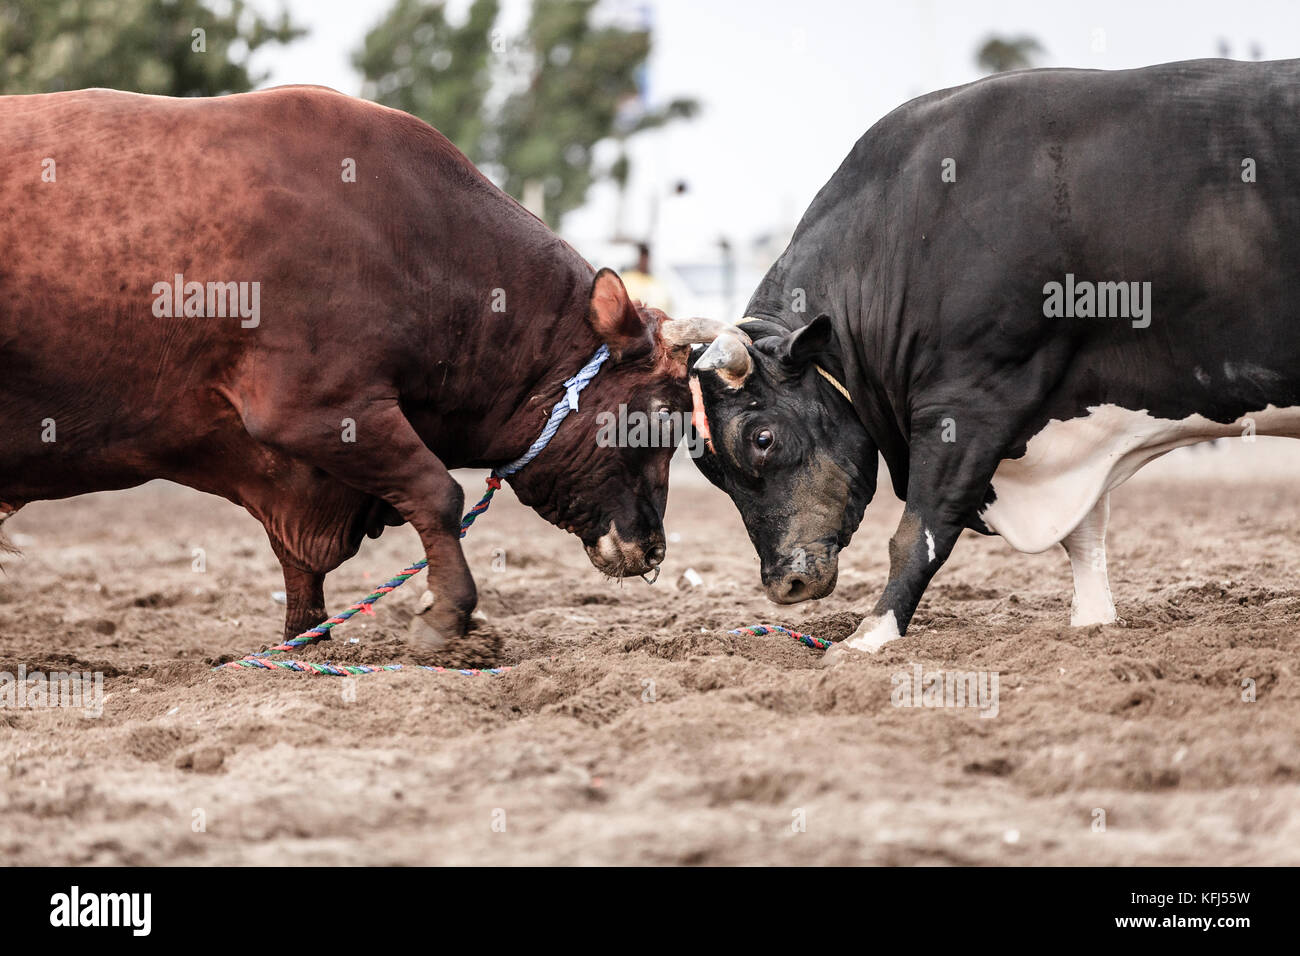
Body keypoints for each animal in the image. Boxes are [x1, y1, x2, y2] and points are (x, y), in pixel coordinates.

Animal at [691, 57, 1300, 658]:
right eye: (709, 470)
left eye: (761, 438)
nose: (784, 583)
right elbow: (1085, 533)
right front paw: (1094, 621)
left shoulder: (969, 401)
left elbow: (919, 532)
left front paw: (869, 637)